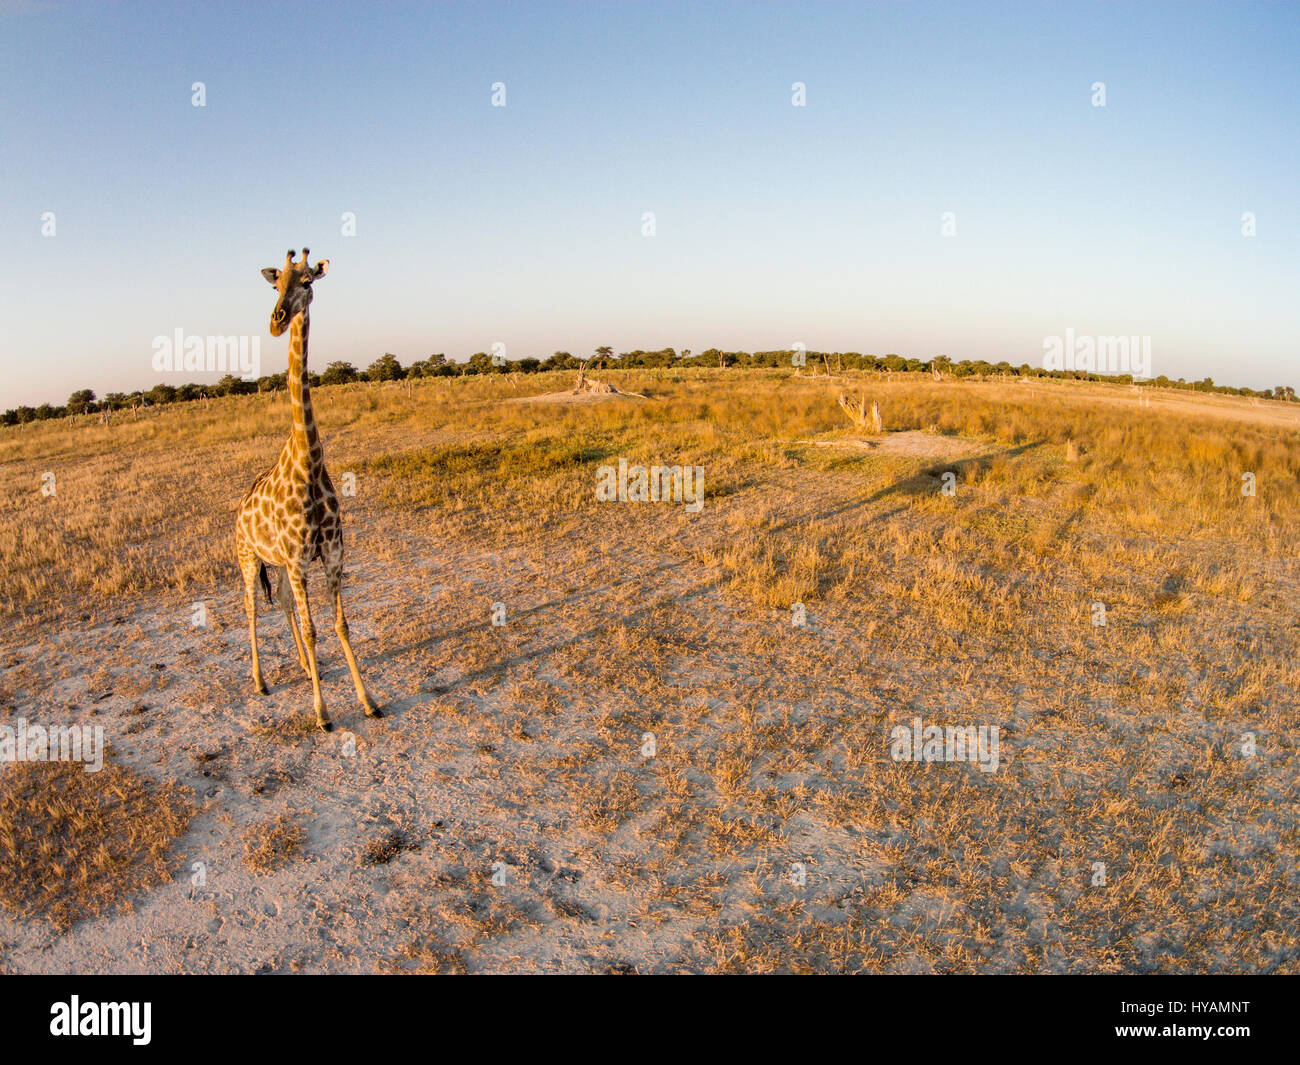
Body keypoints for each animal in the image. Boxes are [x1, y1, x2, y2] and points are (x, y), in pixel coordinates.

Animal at [235, 249, 379, 733]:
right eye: (275, 283)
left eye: (308, 282)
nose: (277, 320)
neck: (308, 464)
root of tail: (236, 511)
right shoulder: (299, 559)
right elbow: (317, 629)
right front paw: (322, 712)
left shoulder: (330, 555)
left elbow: (340, 626)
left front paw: (368, 700)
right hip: (247, 558)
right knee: (251, 607)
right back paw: (259, 681)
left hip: (277, 564)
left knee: (281, 601)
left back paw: (300, 664)